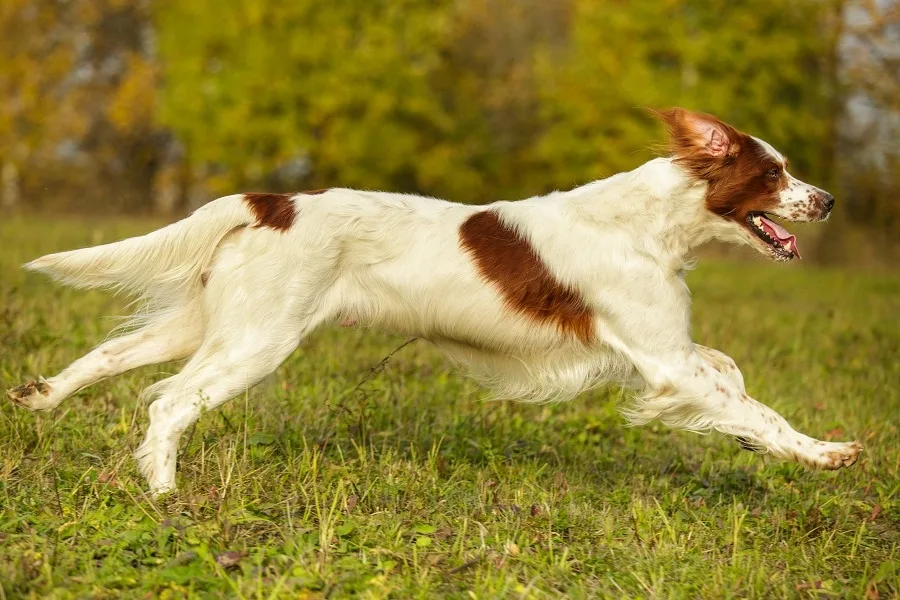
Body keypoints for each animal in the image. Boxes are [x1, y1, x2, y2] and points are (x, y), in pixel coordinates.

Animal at [8, 109, 864, 496]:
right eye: (774, 174)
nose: (826, 200)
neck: (650, 223)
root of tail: (273, 201)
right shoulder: (661, 359)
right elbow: (749, 402)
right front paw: (825, 453)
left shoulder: (667, 352)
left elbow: (732, 377)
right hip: (257, 338)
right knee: (169, 403)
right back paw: (165, 493)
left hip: (213, 322)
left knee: (113, 357)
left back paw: (41, 396)